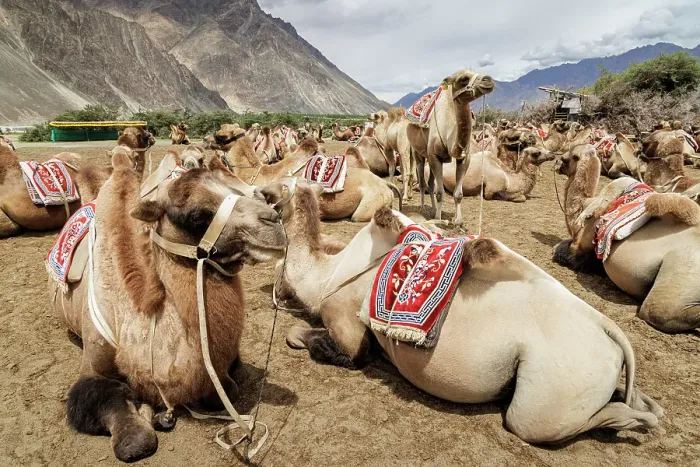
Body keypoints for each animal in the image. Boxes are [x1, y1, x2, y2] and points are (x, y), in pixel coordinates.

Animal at [53, 151, 287, 462]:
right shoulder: (94, 363)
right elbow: (134, 440)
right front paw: (144, 415)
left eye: (240, 190)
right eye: (196, 215)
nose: (274, 220)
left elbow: (227, 388)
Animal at [262, 179, 663, 444]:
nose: (260, 192)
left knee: (543, 422)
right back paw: (648, 407)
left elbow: (306, 338)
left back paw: (638, 422)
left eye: (277, 186)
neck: (326, 274)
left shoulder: (344, 322)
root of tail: (606, 326)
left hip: (553, 391)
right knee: (633, 399)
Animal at [405, 70, 495, 225]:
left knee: (430, 184)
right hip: (418, 153)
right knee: (422, 181)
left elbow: (458, 194)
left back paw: (433, 208)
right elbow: (440, 192)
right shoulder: (435, 156)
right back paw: (423, 208)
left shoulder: (464, 159)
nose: (488, 79)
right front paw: (438, 219)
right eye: (463, 79)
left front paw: (458, 221)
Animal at [552, 144, 700, 332]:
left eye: (567, 157)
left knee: (658, 311)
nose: (556, 163)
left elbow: (560, 250)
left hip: (682, 271)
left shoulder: (581, 247)